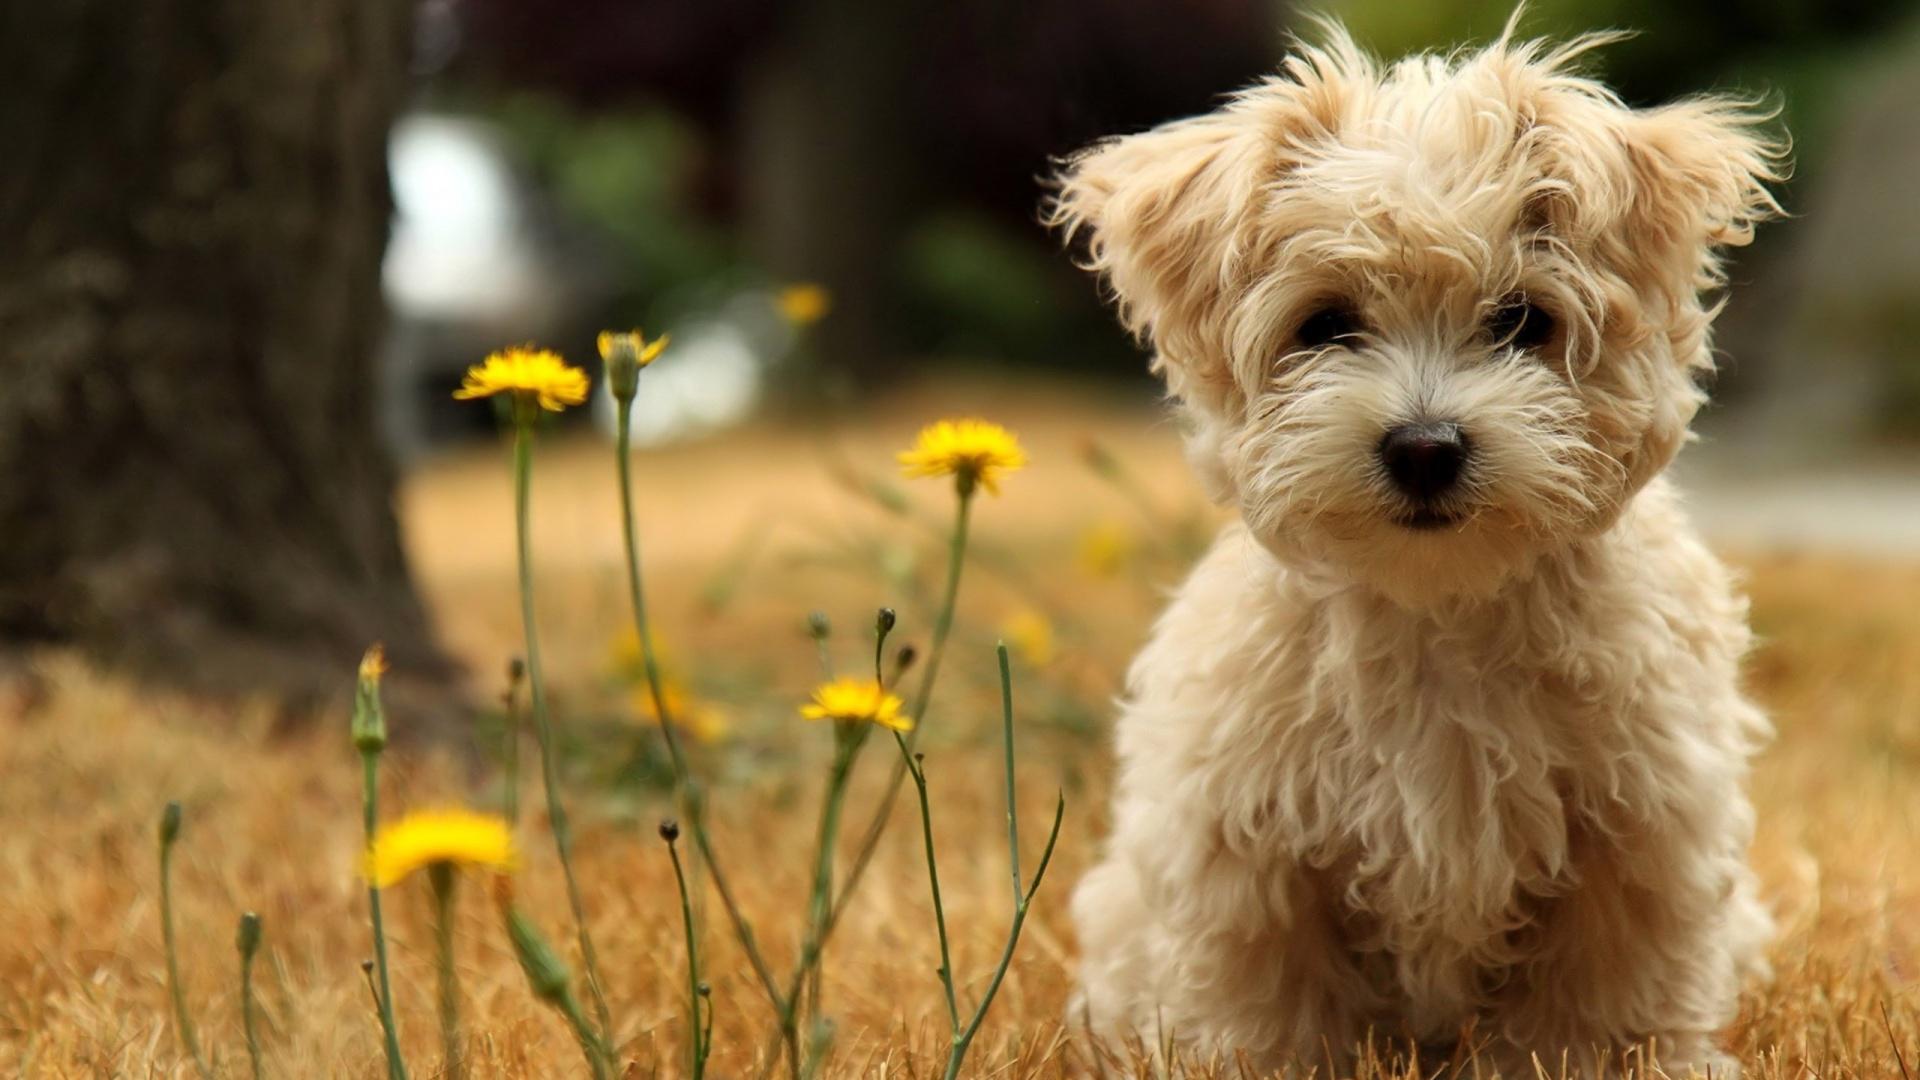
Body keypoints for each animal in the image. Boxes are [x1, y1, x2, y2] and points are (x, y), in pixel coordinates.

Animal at [1052, 18, 1781, 1076]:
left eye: (1521, 321)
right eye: (1325, 324)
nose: (1425, 447)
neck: (1439, 609)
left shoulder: (1641, 830)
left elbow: (1597, 1006)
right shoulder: (1247, 846)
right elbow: (1270, 1005)